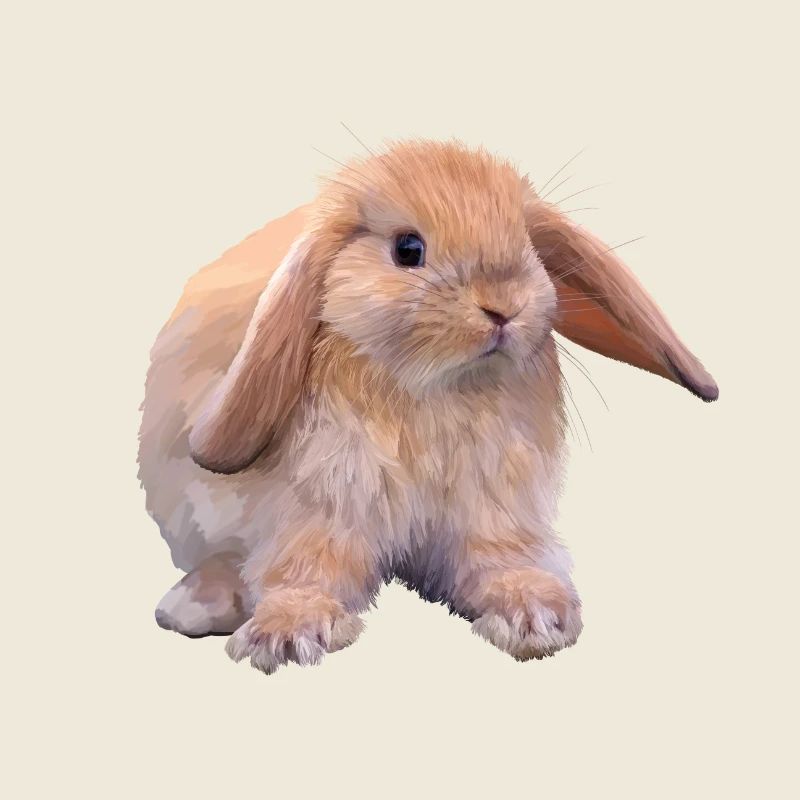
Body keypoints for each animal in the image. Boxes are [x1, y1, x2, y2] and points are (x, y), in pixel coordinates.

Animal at [138, 139, 718, 674]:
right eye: (408, 249)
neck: (433, 390)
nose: (504, 306)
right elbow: (306, 569)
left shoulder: (493, 506)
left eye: (529, 245)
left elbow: (500, 559)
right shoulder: (320, 506)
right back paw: (193, 605)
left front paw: (534, 614)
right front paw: (287, 634)